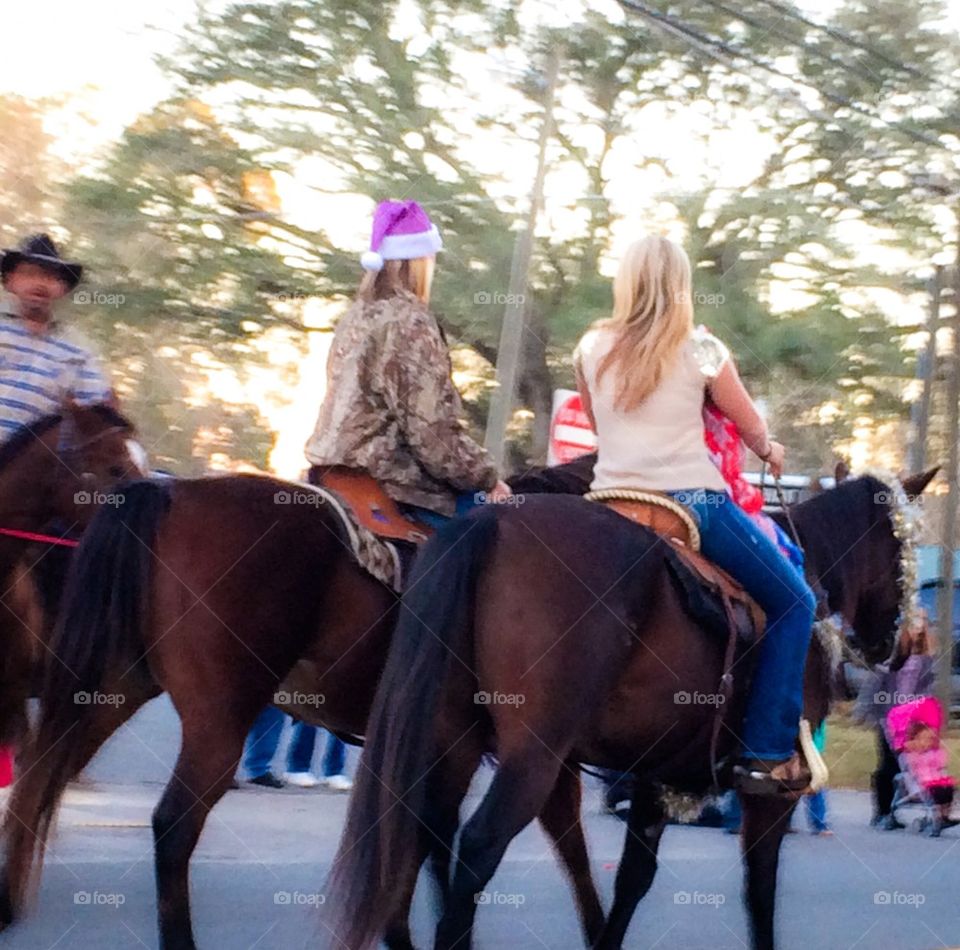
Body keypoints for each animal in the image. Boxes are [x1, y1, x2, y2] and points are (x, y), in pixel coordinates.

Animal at [0, 464, 604, 950]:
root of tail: (171, 492)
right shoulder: (539, 751)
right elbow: (560, 842)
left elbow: (430, 837)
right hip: (219, 719)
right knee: (172, 824)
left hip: (114, 687)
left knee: (41, 777)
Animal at [330, 468, 936, 950]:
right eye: (903, 549)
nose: (907, 644)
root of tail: (491, 524)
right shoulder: (773, 791)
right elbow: (759, 891)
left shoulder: (655, 774)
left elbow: (633, 879)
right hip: (532, 755)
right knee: (477, 845)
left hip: (451, 739)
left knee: (416, 833)